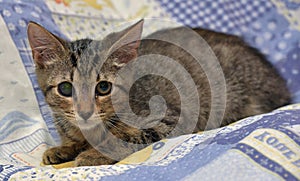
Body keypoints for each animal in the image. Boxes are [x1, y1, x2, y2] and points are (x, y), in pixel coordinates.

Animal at [27, 19, 290, 165]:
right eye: (65, 88)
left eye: (103, 87)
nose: (84, 112)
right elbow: (74, 140)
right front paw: (63, 149)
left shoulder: (172, 118)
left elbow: (123, 138)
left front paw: (92, 154)